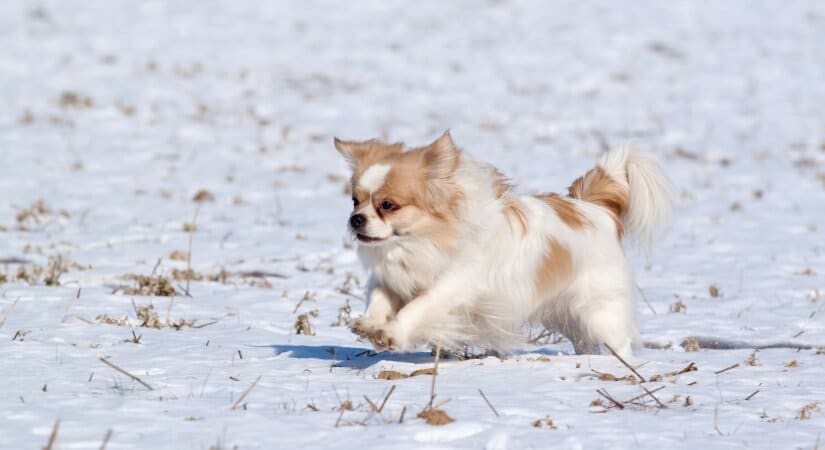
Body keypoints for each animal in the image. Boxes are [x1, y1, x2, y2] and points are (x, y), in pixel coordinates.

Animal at [332, 131, 672, 358]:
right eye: (355, 201)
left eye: (388, 205)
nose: (356, 219)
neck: (419, 243)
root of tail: (593, 209)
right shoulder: (391, 276)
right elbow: (379, 296)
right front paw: (369, 324)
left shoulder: (453, 286)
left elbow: (418, 307)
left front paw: (391, 333)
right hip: (567, 314)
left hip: (599, 311)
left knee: (619, 342)